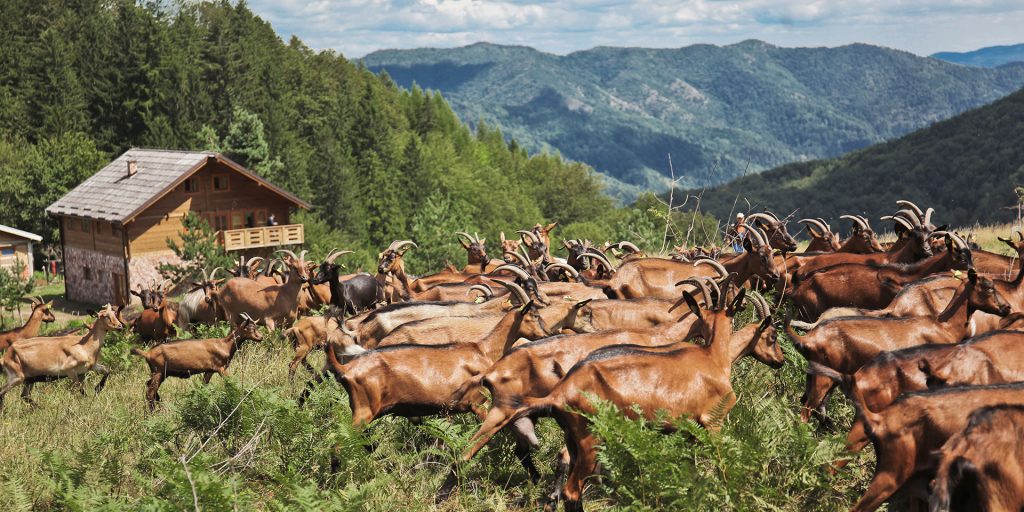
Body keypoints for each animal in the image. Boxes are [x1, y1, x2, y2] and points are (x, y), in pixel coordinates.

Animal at [130, 313, 264, 409]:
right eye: (250, 328)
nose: (261, 337)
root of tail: (148, 353)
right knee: (150, 392)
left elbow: (202, 386)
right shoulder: (221, 368)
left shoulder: (209, 370)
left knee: (149, 386)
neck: (225, 345)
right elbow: (232, 382)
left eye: (256, 326)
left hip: (161, 373)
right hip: (158, 371)